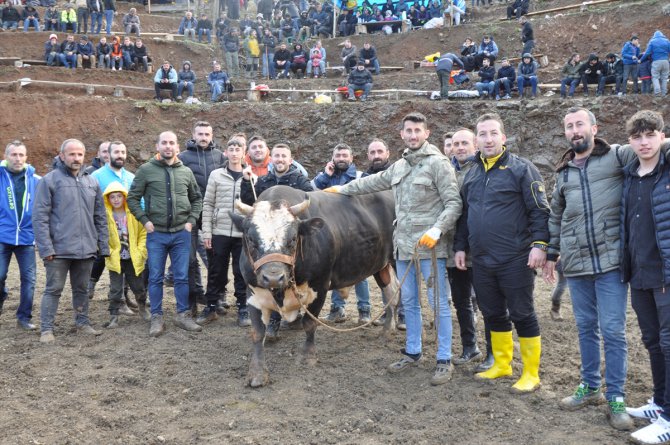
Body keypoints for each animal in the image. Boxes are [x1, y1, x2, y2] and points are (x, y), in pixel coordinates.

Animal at [231, 184, 400, 386]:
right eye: (251, 240)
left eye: (293, 239)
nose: (273, 277)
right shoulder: (253, 292)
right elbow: (257, 332)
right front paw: (256, 372)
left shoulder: (320, 285)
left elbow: (309, 323)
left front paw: (308, 356)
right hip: (381, 266)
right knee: (391, 292)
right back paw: (387, 331)